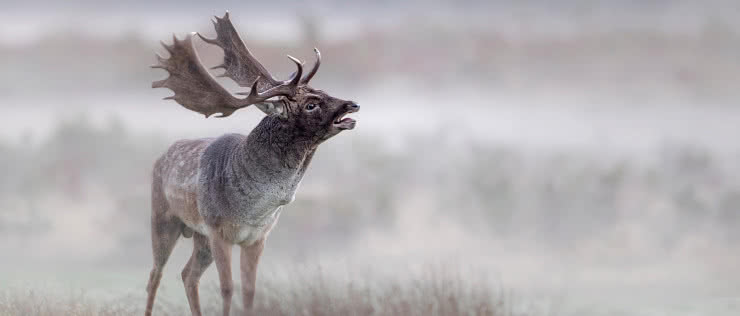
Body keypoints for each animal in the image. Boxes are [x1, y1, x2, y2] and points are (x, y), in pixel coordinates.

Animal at [144, 12, 358, 316]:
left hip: (199, 237)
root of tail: (161, 157)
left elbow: (249, 291)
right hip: (163, 217)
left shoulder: (257, 237)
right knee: (155, 275)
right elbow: (227, 288)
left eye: (323, 91)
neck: (253, 209)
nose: (352, 105)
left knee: (187, 275)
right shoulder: (218, 231)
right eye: (311, 104)